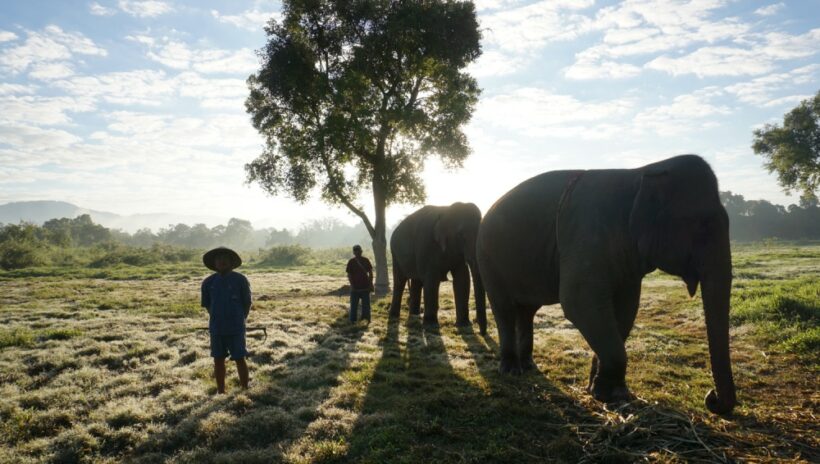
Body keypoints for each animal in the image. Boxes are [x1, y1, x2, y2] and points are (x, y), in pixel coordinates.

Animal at [386, 203, 484, 334]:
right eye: (460, 235)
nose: (480, 330)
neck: (447, 211)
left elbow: (462, 279)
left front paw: (464, 325)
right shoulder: (426, 245)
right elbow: (432, 280)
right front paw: (431, 325)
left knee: (417, 281)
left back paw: (414, 315)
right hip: (395, 254)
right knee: (400, 281)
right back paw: (394, 316)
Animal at [474, 155, 736, 414]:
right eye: (702, 226)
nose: (711, 397)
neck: (640, 174)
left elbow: (627, 309)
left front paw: (605, 391)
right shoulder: (586, 237)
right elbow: (578, 302)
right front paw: (610, 395)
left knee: (526, 311)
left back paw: (529, 364)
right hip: (488, 260)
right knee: (504, 308)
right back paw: (511, 370)